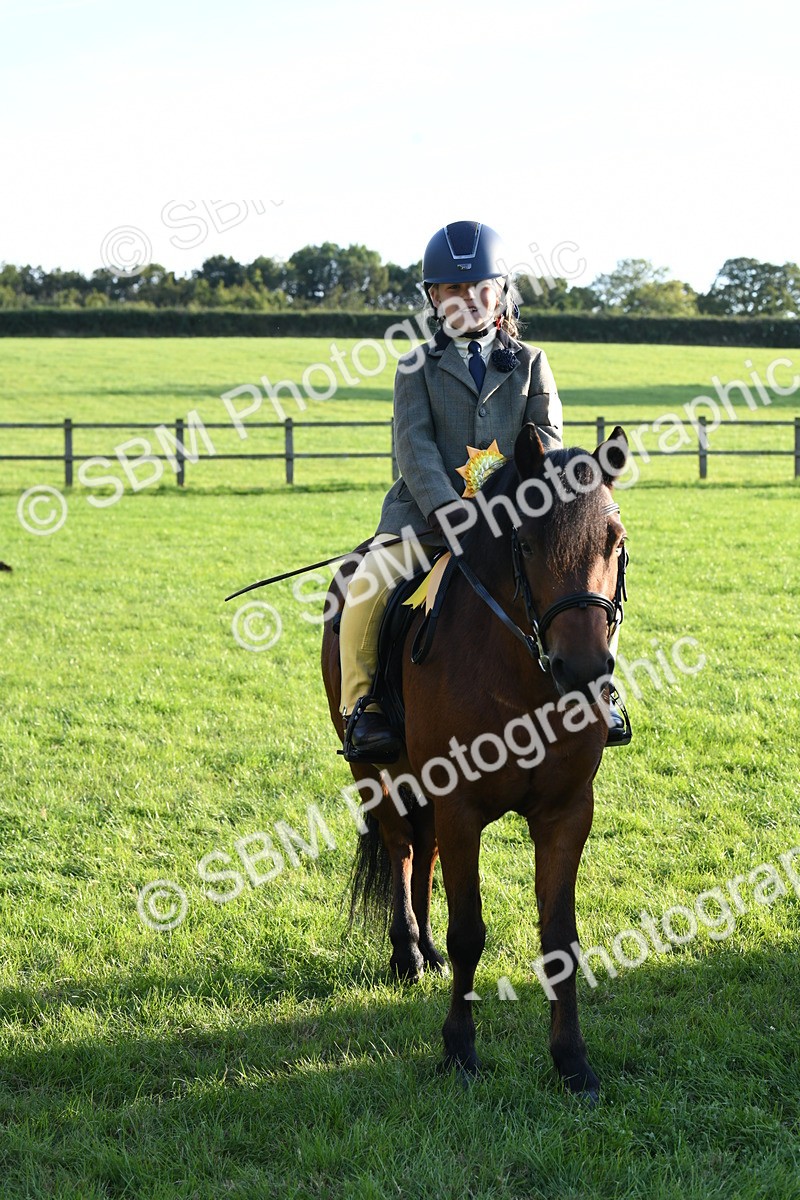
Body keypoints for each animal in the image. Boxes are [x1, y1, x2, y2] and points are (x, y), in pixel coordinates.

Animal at [321, 423, 630, 1101]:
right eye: (527, 540)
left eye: (614, 541)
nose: (584, 671)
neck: (522, 676)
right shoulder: (461, 804)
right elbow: (470, 934)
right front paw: (459, 1050)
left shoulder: (567, 812)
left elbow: (560, 939)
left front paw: (572, 1062)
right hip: (377, 774)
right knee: (401, 845)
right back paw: (408, 953)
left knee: (423, 845)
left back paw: (424, 951)